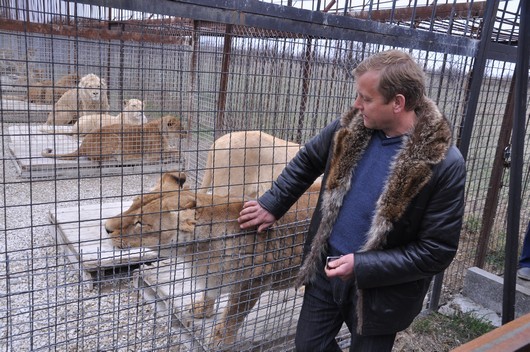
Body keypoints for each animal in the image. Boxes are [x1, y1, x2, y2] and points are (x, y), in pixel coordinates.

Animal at [39, 117, 184, 164]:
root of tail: (82, 145)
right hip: (114, 137)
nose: (186, 133)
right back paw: (115, 158)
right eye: (181, 128)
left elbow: (172, 149)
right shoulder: (152, 155)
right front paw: (179, 155)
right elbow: (171, 152)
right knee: (95, 158)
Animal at [104, 172, 318, 348]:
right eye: (132, 205)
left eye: (140, 223)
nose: (106, 228)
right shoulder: (210, 274)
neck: (194, 252)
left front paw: (219, 340)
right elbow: (208, 293)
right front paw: (201, 309)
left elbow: (233, 315)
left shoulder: (253, 282)